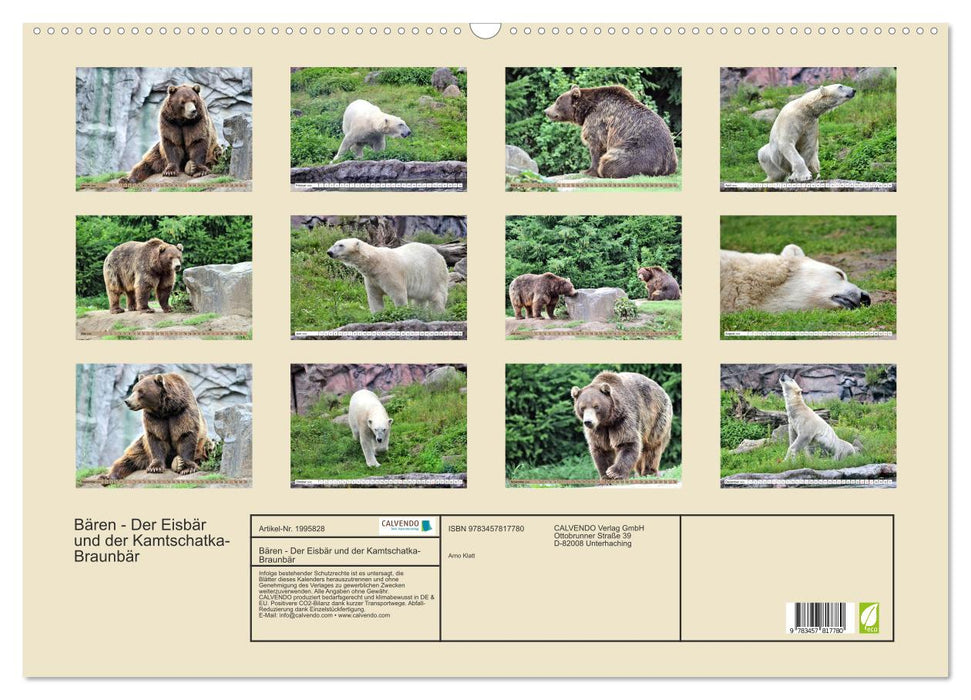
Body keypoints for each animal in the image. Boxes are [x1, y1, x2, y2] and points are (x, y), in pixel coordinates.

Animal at [544, 84, 678, 178]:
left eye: (557, 102)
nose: (546, 111)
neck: (586, 110)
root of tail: (665, 166)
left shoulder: (598, 121)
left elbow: (596, 146)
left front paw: (587, 171)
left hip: (639, 150)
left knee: (610, 161)